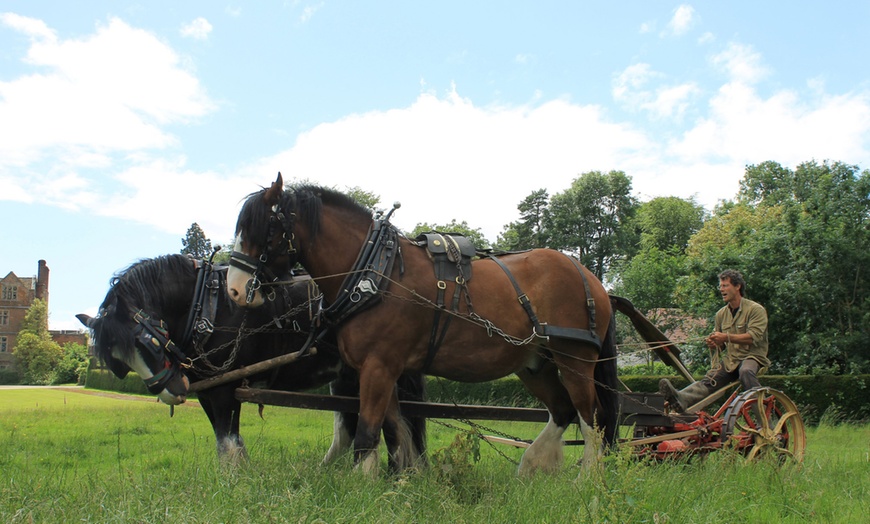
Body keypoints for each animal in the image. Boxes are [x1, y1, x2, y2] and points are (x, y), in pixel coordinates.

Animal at [78, 253, 426, 466]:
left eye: (148, 341)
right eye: (119, 363)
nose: (170, 392)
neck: (207, 304)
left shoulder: (224, 390)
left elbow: (228, 443)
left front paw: (233, 485)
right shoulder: (208, 391)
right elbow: (225, 442)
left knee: (393, 426)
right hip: (347, 376)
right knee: (352, 428)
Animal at [225, 174, 620, 476]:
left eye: (265, 228)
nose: (234, 288)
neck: (375, 272)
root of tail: (591, 278)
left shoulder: (379, 366)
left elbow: (368, 433)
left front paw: (363, 485)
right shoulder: (384, 370)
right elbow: (396, 432)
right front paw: (404, 480)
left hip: (575, 360)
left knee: (592, 419)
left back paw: (587, 480)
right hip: (535, 364)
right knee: (563, 411)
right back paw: (531, 468)